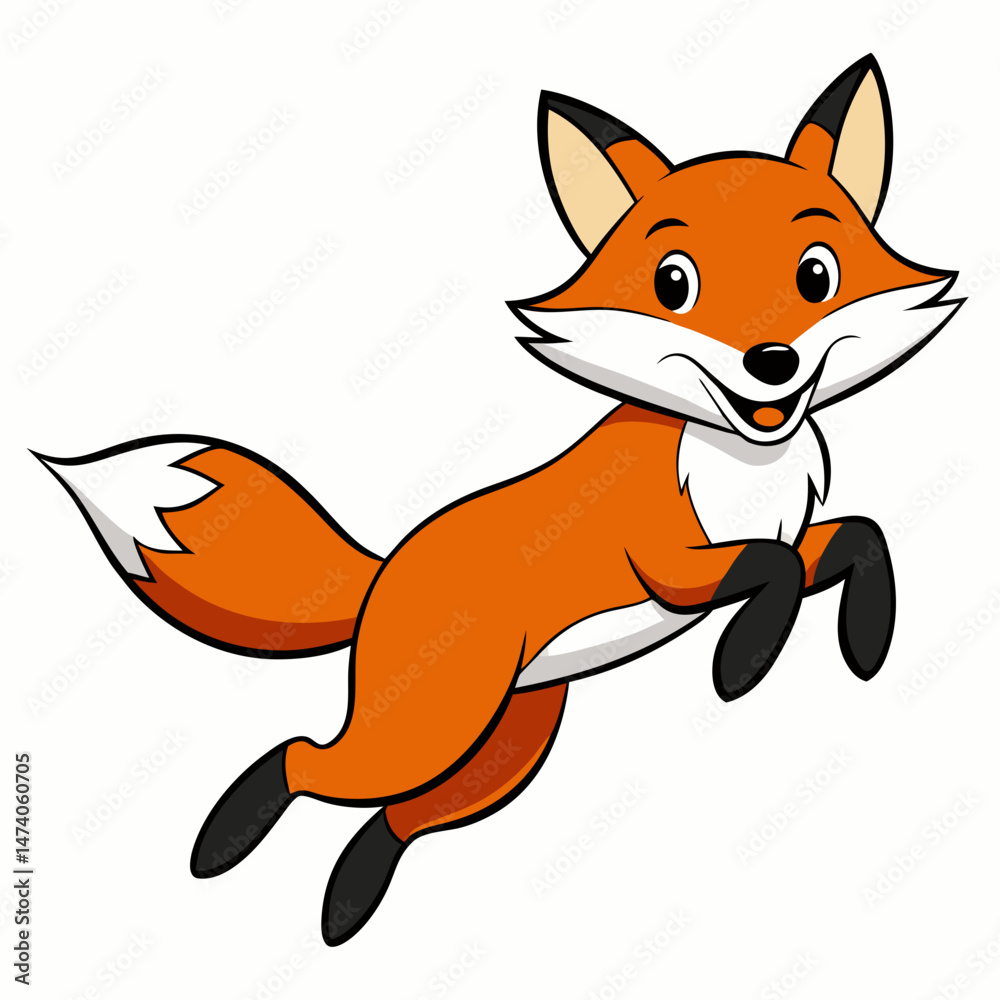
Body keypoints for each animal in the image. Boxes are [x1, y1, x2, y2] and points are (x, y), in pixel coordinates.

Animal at [37, 55, 963, 945]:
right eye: (673, 284)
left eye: (817, 275)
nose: (770, 361)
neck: (737, 458)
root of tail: (381, 573)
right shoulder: (669, 561)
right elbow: (770, 568)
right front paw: (744, 660)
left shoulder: (789, 536)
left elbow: (856, 538)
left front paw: (864, 639)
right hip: (431, 729)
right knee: (308, 758)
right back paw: (225, 837)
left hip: (511, 740)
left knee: (398, 819)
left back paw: (345, 908)